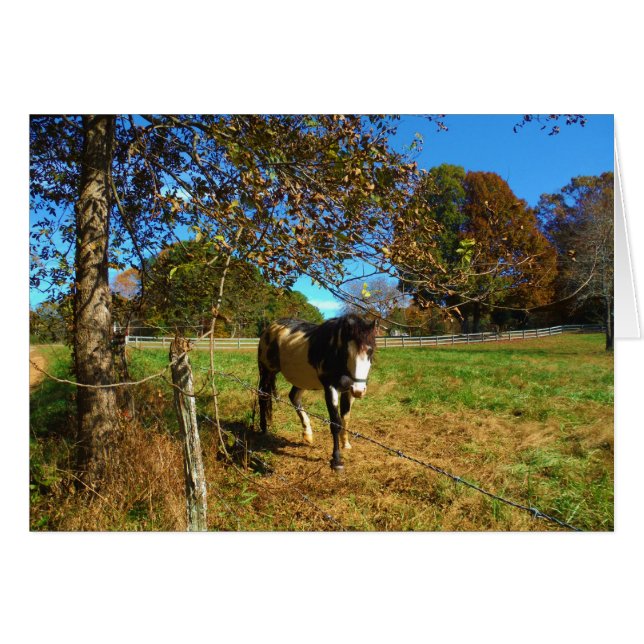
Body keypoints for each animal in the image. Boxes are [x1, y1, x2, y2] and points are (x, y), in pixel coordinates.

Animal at [257, 314, 377, 471]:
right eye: (347, 351)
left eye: (370, 351)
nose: (359, 390)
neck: (334, 351)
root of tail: (270, 327)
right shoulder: (330, 388)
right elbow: (335, 423)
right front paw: (336, 460)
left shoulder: (348, 390)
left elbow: (345, 418)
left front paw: (346, 444)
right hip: (266, 372)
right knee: (262, 398)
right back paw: (264, 430)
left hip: (301, 379)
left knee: (293, 397)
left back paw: (307, 434)